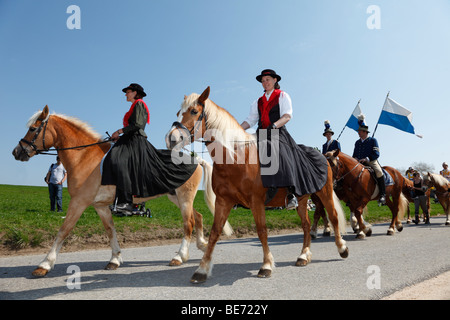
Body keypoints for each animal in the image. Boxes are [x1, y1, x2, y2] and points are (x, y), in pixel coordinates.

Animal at [11, 106, 232, 276]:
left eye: (33, 128)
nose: (16, 152)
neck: (84, 157)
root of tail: (197, 158)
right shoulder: (100, 206)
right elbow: (110, 230)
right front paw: (115, 260)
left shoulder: (79, 202)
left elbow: (64, 230)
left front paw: (44, 265)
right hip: (176, 198)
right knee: (199, 216)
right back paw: (201, 245)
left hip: (184, 197)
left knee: (189, 223)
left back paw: (179, 256)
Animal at [165, 87, 348, 282]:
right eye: (178, 112)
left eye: (193, 111)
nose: (171, 139)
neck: (236, 158)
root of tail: (324, 156)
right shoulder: (223, 201)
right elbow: (215, 232)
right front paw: (202, 269)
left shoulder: (256, 201)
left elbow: (261, 230)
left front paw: (266, 265)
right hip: (303, 199)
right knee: (306, 225)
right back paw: (303, 256)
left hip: (324, 192)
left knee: (333, 217)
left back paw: (342, 248)